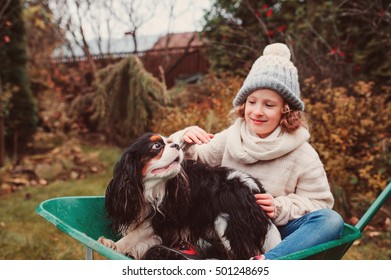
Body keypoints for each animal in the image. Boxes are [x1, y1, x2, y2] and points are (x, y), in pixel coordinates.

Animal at [99, 132, 282, 260]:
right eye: (157, 146)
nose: (177, 145)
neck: (150, 189)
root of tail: (254, 188)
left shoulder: (162, 218)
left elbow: (136, 234)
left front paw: (113, 246)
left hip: (227, 223)